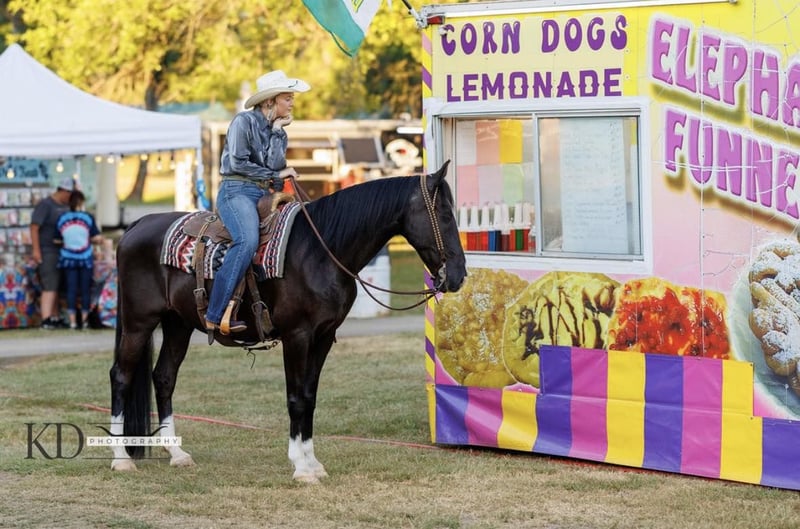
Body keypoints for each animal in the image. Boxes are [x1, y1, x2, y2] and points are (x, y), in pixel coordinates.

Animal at [107, 161, 466, 482]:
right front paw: (302, 468)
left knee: (164, 377)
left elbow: (310, 395)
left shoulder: (324, 336)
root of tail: (137, 225)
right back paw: (121, 458)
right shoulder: (297, 335)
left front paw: (312, 462)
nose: (459, 275)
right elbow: (296, 397)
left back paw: (177, 453)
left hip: (177, 324)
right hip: (138, 322)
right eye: (445, 215)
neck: (321, 250)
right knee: (121, 376)